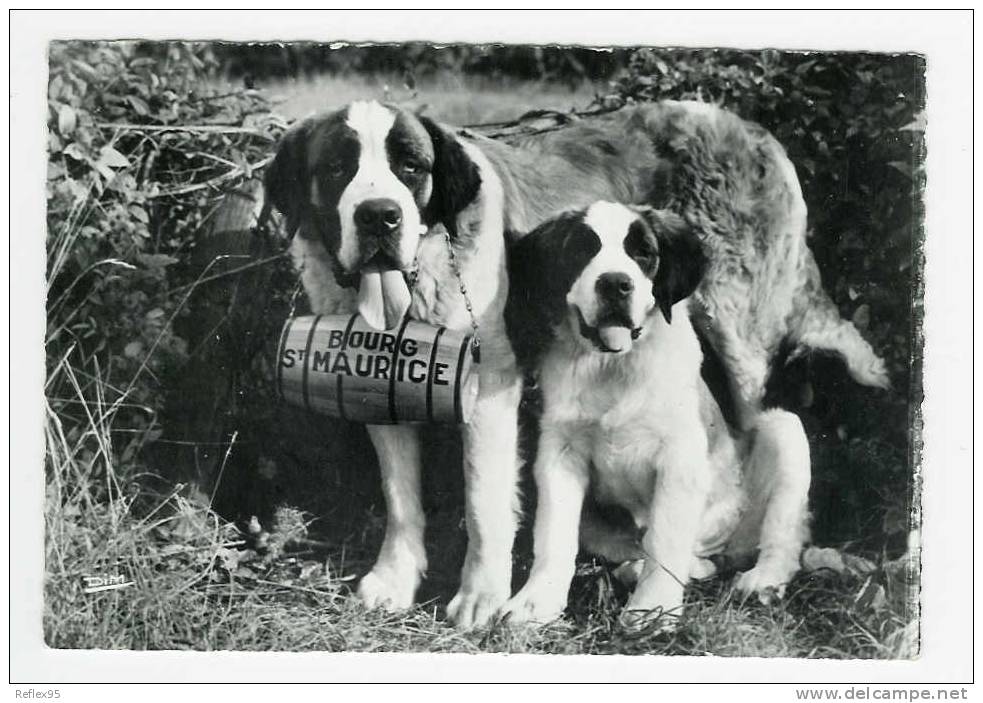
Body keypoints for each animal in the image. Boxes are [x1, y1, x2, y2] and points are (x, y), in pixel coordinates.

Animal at [500, 204, 816, 628]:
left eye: (644, 253)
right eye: (583, 250)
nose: (615, 284)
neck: (614, 367)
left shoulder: (679, 458)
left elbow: (666, 537)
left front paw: (654, 608)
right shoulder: (559, 451)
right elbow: (553, 534)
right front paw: (537, 602)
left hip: (782, 432)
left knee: (782, 533)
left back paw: (763, 579)